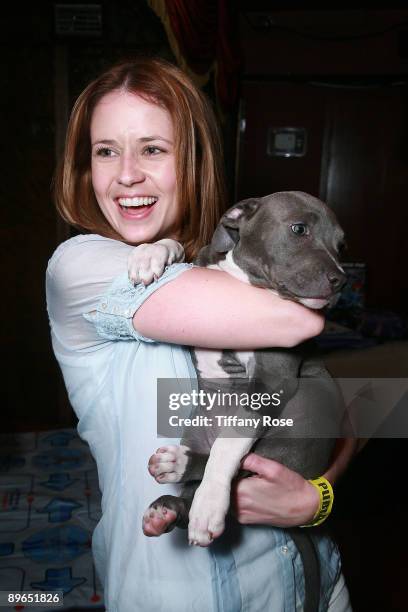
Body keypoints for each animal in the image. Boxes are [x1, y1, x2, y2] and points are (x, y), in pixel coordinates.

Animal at [135, 190, 346, 544]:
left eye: (341, 245)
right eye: (299, 229)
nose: (341, 280)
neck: (242, 278)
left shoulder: (269, 383)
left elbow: (227, 448)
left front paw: (209, 505)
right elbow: (179, 246)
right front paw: (149, 254)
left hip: (305, 413)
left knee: (238, 464)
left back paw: (181, 472)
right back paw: (169, 505)